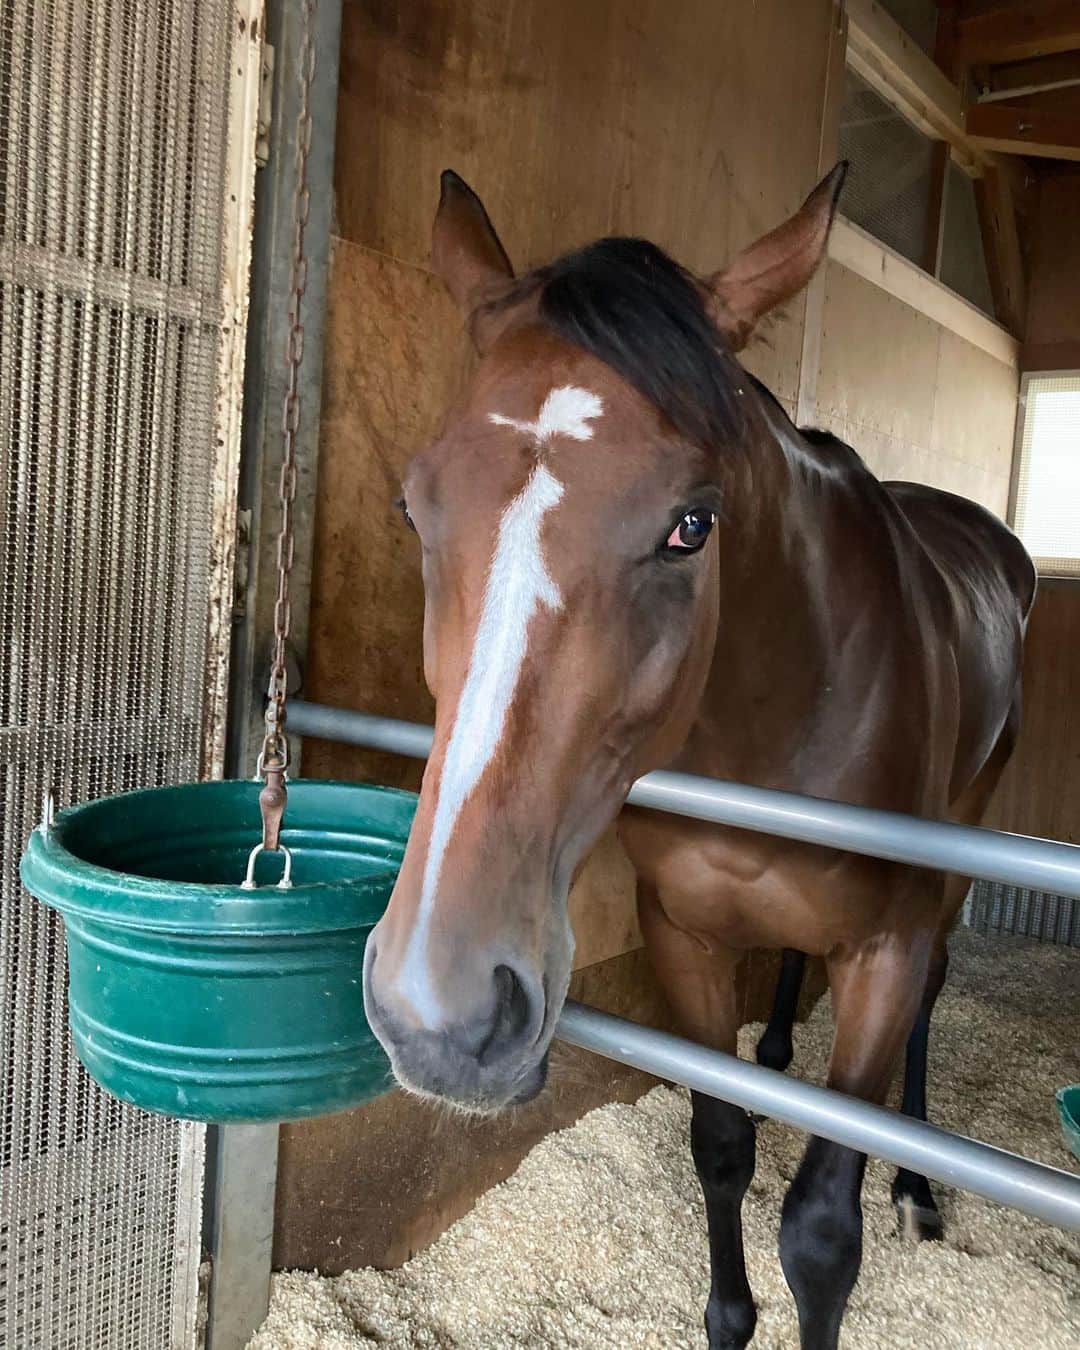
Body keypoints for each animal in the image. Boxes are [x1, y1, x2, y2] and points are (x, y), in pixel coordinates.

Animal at [362, 164, 1036, 1349]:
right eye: (413, 505)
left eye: (691, 525)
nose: (438, 1014)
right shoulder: (684, 935)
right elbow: (721, 1151)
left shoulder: (884, 955)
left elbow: (822, 1232)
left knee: (937, 993)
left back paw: (918, 1185)